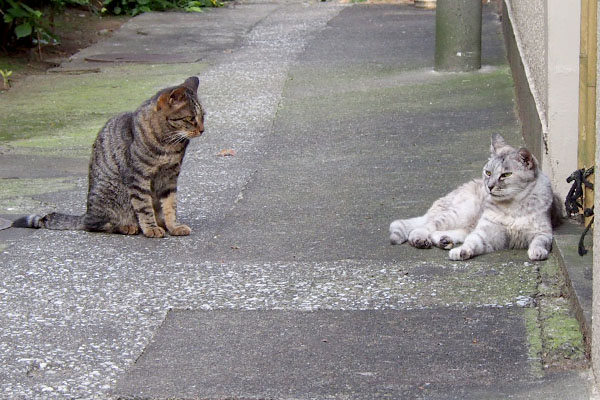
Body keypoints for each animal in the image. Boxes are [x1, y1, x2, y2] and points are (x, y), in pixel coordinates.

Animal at [11, 75, 204, 238]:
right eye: (190, 118)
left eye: (203, 116)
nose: (202, 130)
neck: (170, 144)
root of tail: (86, 214)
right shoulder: (138, 177)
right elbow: (144, 207)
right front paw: (150, 228)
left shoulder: (169, 177)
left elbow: (170, 205)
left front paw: (173, 226)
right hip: (113, 194)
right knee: (97, 225)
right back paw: (128, 226)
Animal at [390, 133, 564, 260]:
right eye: (488, 172)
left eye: (505, 175)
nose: (490, 186)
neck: (512, 206)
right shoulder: (488, 231)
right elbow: (473, 241)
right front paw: (462, 251)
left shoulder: (543, 232)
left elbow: (539, 242)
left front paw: (537, 252)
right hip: (460, 214)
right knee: (423, 227)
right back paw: (421, 240)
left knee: (444, 232)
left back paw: (444, 241)